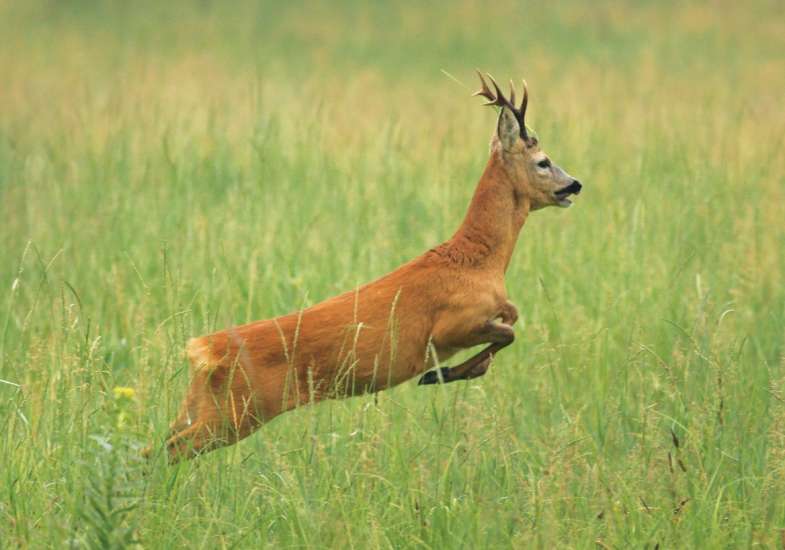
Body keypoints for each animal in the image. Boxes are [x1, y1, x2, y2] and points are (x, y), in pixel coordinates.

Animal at [152, 71, 580, 464]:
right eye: (543, 162)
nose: (575, 184)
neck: (477, 260)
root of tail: (203, 349)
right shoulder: (449, 326)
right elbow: (508, 331)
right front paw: (438, 375)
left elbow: (512, 318)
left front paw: (444, 373)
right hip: (238, 411)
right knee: (165, 452)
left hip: (201, 404)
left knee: (155, 444)